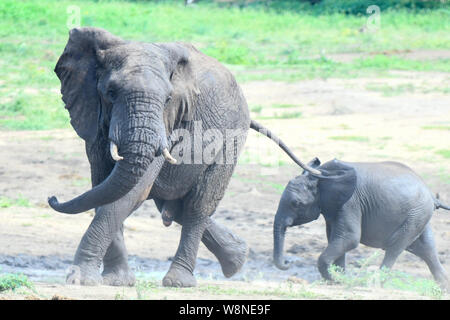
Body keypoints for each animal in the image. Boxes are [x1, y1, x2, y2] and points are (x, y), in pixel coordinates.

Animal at [47, 28, 318, 288]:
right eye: (111, 93)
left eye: (168, 99)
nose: (52, 197)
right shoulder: (94, 119)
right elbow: (103, 187)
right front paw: (116, 281)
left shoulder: (168, 123)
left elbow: (132, 191)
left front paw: (80, 279)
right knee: (174, 205)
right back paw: (237, 258)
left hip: (231, 138)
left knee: (198, 206)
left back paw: (180, 281)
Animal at [274, 158, 450, 290]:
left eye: (296, 203)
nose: (288, 262)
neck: (320, 177)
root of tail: (431, 195)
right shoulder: (335, 207)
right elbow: (335, 238)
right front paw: (339, 279)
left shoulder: (351, 203)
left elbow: (349, 238)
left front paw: (336, 279)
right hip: (419, 215)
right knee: (425, 248)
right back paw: (443, 288)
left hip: (416, 214)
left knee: (396, 247)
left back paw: (375, 284)